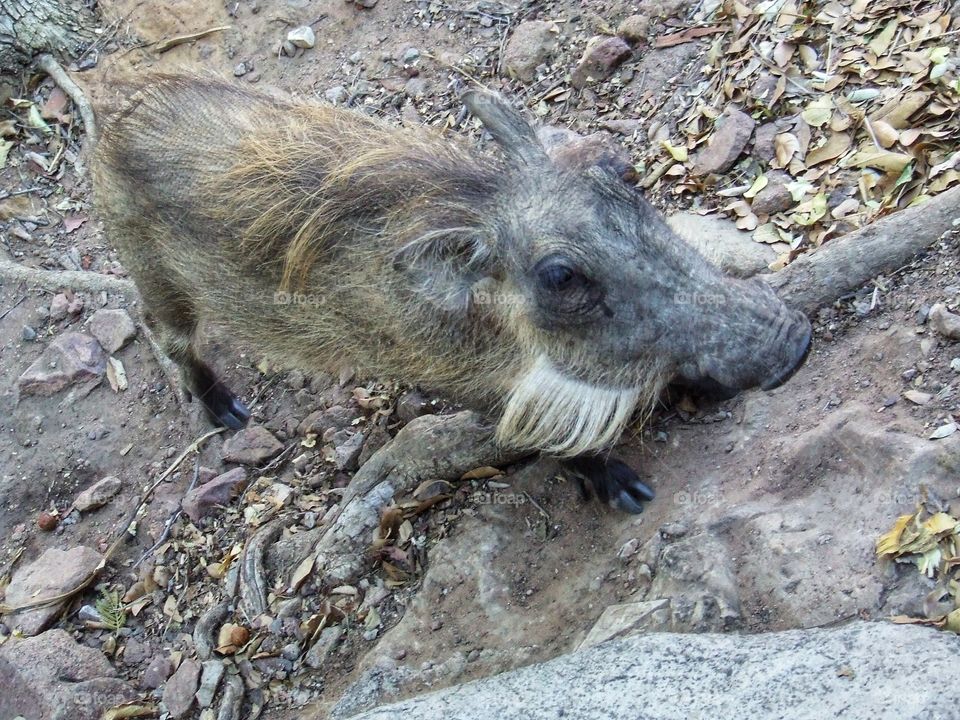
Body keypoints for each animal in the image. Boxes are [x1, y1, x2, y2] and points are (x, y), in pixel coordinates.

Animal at [92, 75, 810, 513]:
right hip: (155, 279)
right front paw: (624, 490)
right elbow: (546, 436)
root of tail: (114, 115)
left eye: (620, 173)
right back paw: (228, 414)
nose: (796, 339)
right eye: (560, 277)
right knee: (164, 335)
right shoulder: (463, 384)